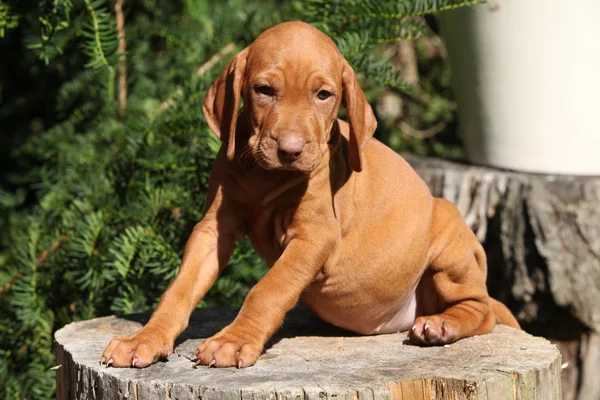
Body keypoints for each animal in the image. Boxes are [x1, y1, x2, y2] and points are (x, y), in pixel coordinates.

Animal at [101, 20, 516, 368]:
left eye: (323, 95)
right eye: (264, 90)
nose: (290, 149)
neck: (265, 176)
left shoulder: (314, 237)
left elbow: (267, 289)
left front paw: (233, 341)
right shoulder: (213, 228)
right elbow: (179, 288)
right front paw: (145, 339)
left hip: (449, 234)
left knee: (482, 309)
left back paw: (442, 326)